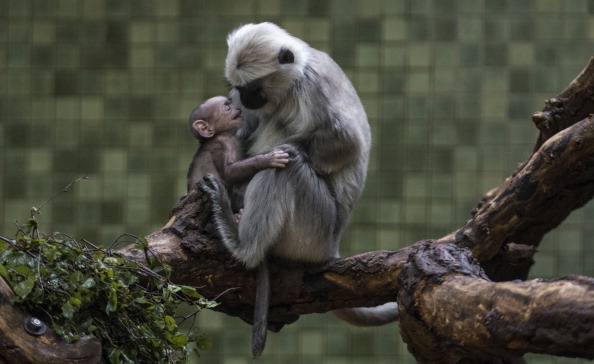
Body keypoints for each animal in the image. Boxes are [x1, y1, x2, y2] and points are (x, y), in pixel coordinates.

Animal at [200, 22, 398, 358]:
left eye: (253, 87)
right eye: (238, 88)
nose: (243, 99)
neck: (294, 77)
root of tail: (332, 246)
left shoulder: (312, 87)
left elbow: (347, 144)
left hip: (314, 230)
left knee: (286, 168)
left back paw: (243, 245)